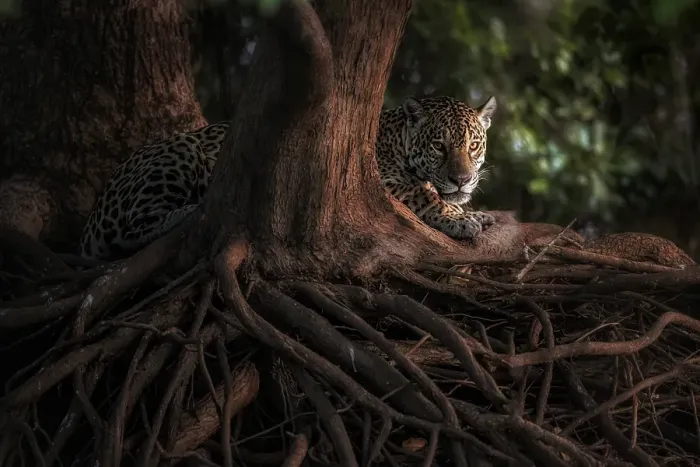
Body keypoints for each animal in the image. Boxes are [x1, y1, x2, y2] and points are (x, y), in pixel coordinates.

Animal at [79, 95, 497, 261]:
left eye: (473, 145)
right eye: (440, 147)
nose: (463, 179)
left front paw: (476, 212)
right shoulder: (378, 181)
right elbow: (425, 192)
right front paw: (461, 219)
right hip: (177, 156)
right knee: (133, 231)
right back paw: (189, 210)